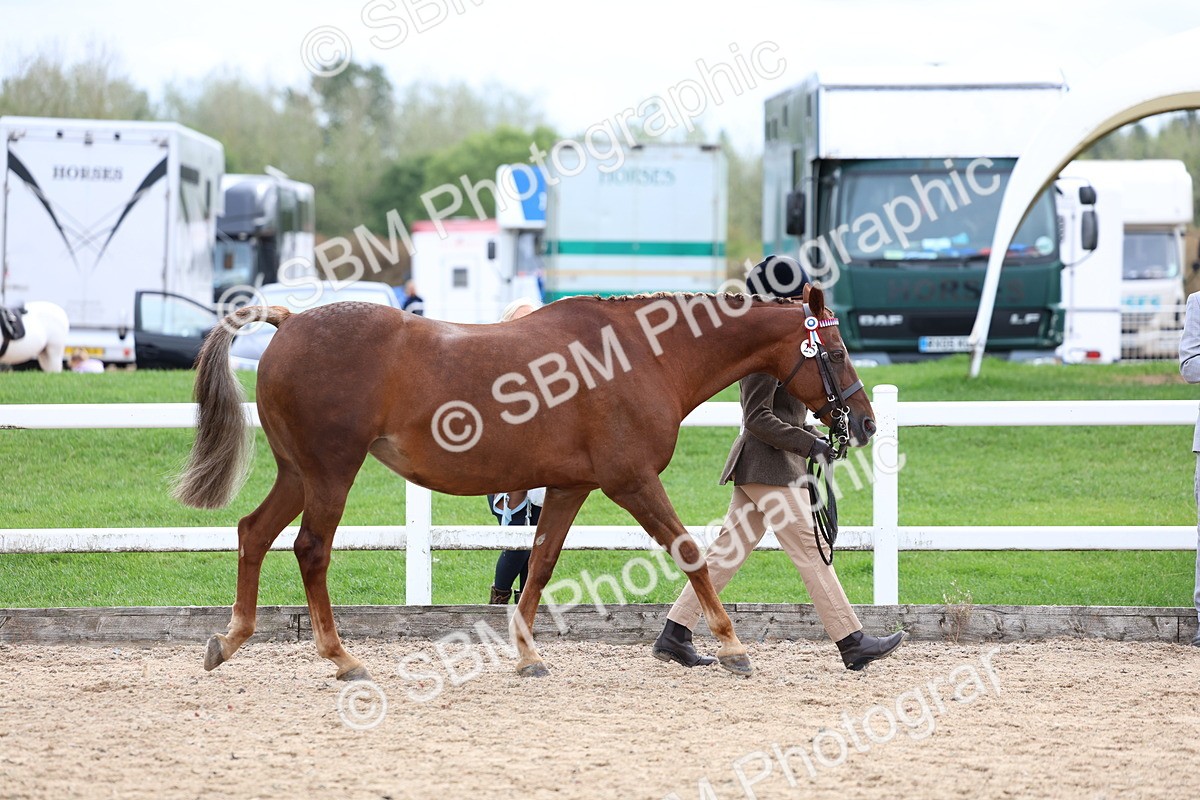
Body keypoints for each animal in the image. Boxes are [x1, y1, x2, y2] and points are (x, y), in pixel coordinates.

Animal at [172, 283, 876, 682]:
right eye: (838, 352)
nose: (864, 423)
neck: (639, 356)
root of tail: (290, 319)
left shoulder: (569, 487)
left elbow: (538, 566)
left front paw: (528, 655)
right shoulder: (631, 481)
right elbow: (690, 553)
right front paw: (730, 648)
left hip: (298, 472)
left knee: (253, 533)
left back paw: (229, 640)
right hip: (329, 473)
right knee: (309, 550)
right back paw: (341, 658)